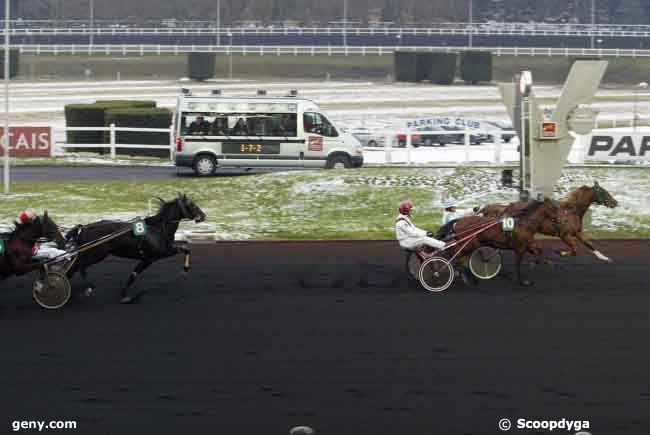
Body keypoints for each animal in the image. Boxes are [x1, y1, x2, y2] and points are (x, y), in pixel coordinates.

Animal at [63, 194, 205, 304]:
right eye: (192, 205)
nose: (203, 215)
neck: (158, 229)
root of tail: (84, 228)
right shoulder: (149, 258)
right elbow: (133, 275)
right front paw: (125, 296)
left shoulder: (165, 252)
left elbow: (186, 249)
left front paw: (185, 269)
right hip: (97, 254)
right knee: (81, 266)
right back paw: (88, 288)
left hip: (92, 254)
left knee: (74, 267)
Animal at [478, 183, 616, 262]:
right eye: (604, 192)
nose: (615, 202)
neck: (571, 211)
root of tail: (507, 206)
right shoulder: (564, 235)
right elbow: (574, 250)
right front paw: (560, 253)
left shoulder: (577, 232)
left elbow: (589, 244)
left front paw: (604, 258)